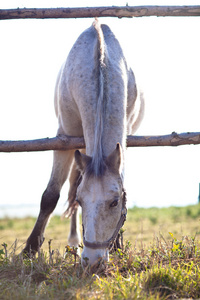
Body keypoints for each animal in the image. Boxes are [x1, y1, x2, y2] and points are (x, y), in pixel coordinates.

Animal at [23, 18, 144, 266]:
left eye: (114, 202)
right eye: (82, 200)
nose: (92, 261)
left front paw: (117, 245)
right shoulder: (64, 139)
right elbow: (51, 196)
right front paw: (29, 249)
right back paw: (73, 243)